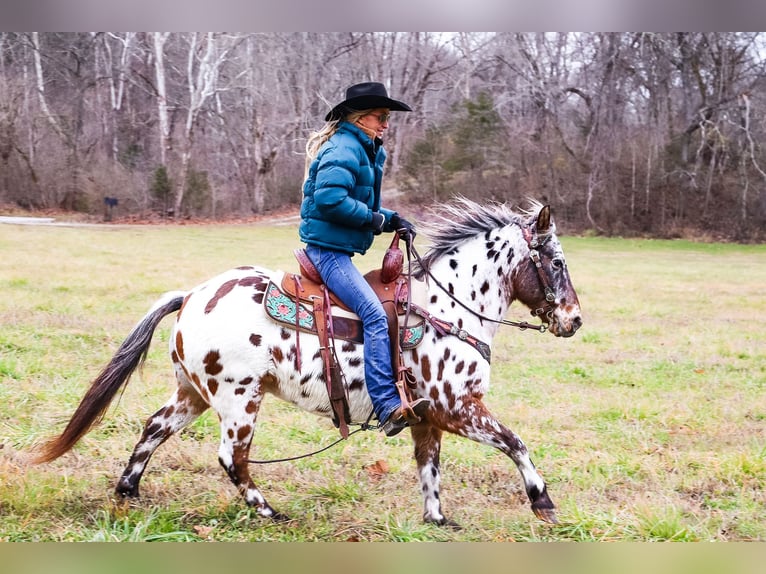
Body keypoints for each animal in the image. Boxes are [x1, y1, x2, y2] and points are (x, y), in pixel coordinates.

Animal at [30, 199, 584, 532]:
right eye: (556, 262)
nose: (575, 319)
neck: (449, 308)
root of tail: (192, 295)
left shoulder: (427, 418)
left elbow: (429, 468)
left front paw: (437, 519)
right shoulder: (458, 408)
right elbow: (515, 443)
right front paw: (542, 501)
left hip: (192, 394)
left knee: (152, 429)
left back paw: (127, 494)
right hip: (239, 399)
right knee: (232, 459)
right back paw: (269, 512)